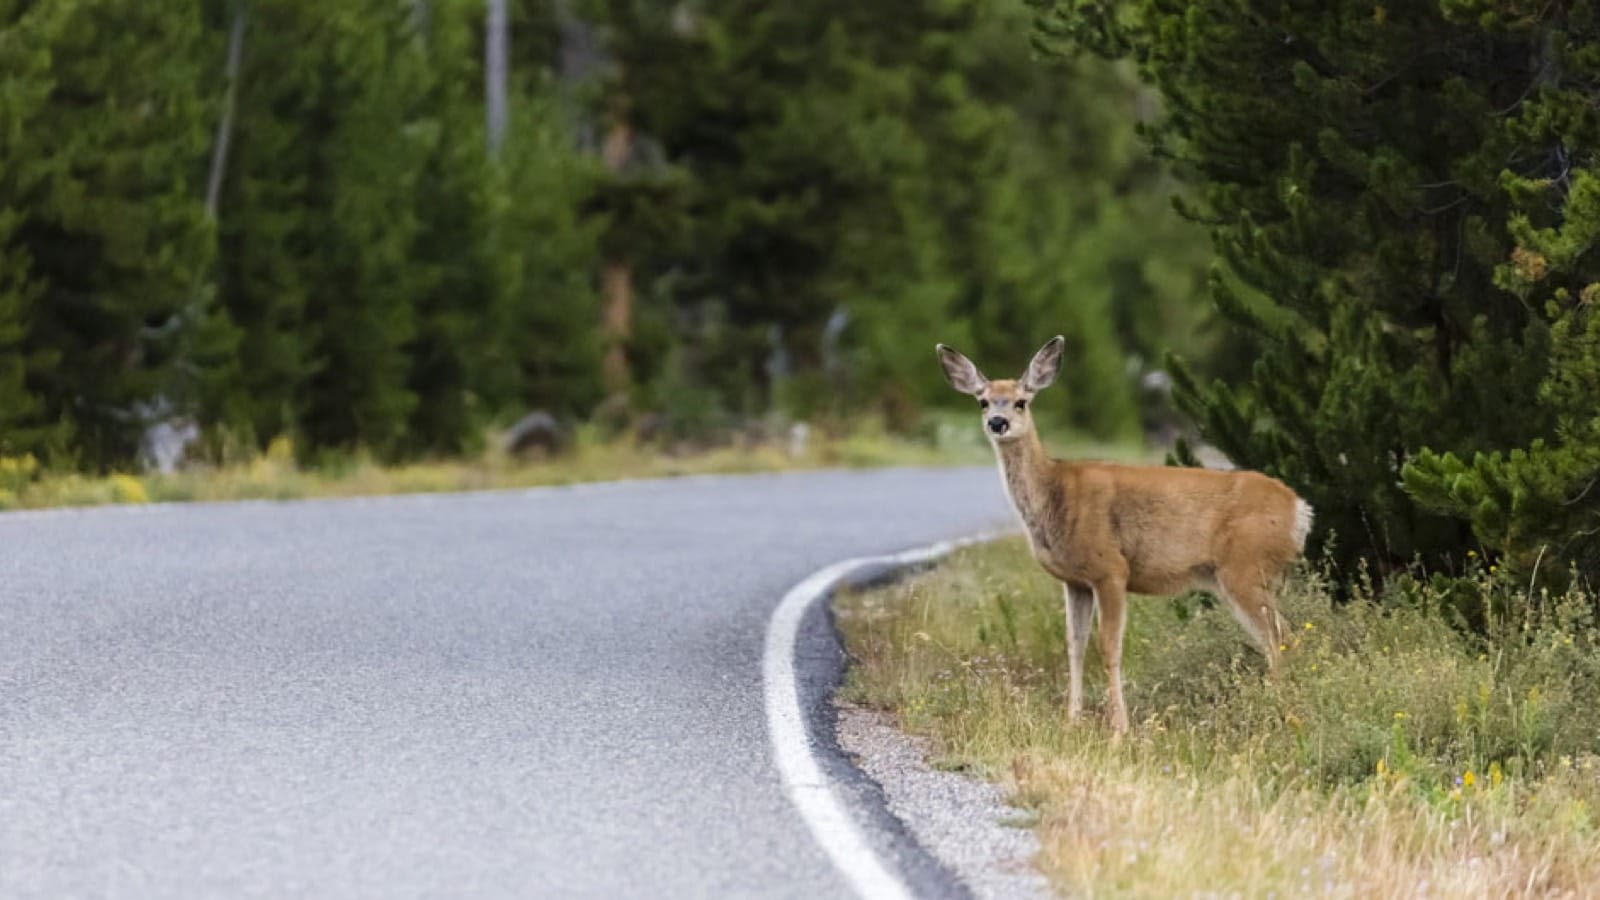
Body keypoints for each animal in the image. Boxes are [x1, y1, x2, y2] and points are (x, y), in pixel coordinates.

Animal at [934, 333, 1312, 733]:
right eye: (983, 400)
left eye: (1021, 401)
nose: (998, 422)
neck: (1055, 494)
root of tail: (1300, 509)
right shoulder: (1075, 581)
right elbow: (1075, 646)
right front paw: (1072, 721)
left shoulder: (1110, 569)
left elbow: (1109, 647)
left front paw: (1119, 727)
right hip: (1243, 575)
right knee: (1277, 636)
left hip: (1246, 566)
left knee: (1281, 635)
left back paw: (1279, 710)